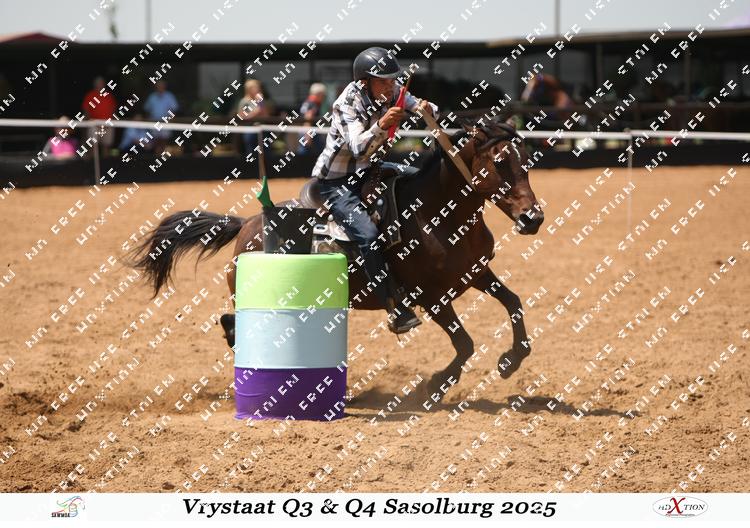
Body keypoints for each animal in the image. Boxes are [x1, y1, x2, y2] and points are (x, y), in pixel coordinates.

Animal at [125, 117, 545, 403]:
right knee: (234, 323)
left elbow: (514, 303)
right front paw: (434, 386)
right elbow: (465, 344)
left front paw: (510, 361)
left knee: (230, 324)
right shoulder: (429, 296)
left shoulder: (475, 273)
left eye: (527, 161)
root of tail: (247, 224)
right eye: (501, 162)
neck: (436, 215)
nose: (533, 219)